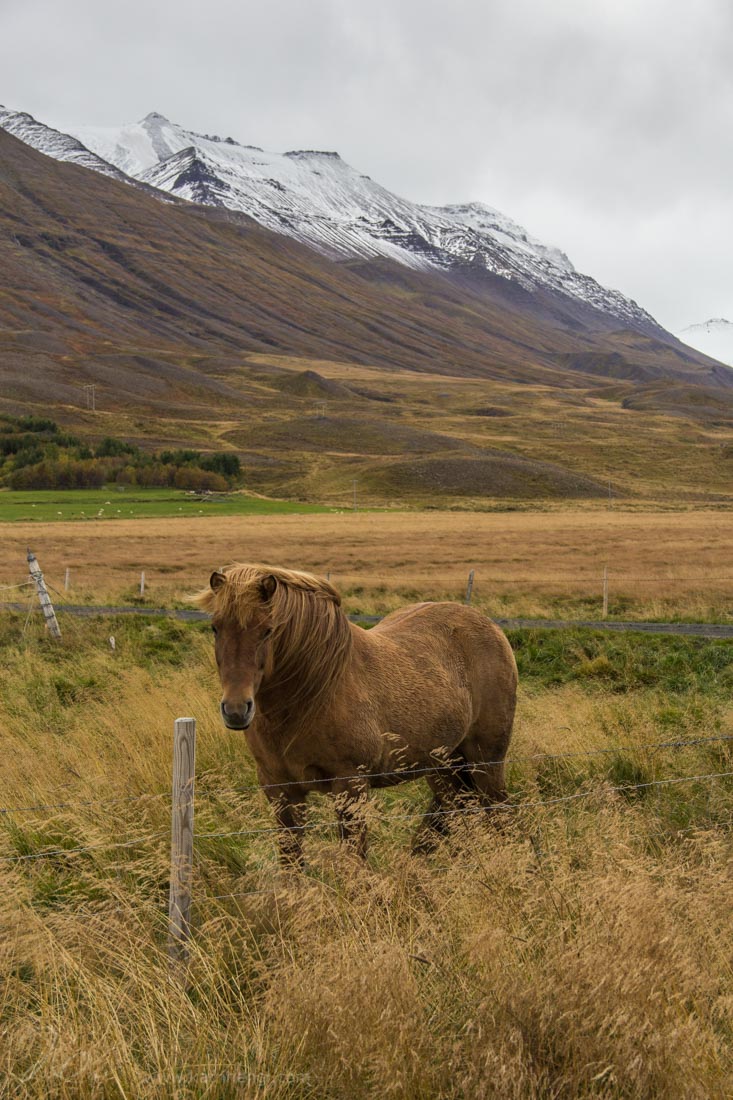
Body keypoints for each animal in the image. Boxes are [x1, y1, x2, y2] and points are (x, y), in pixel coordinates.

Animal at [193, 563, 512, 862]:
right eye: (215, 627)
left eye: (268, 630)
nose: (236, 710)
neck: (312, 696)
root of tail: (491, 627)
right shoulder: (280, 790)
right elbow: (292, 865)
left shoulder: (351, 786)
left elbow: (354, 864)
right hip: (442, 767)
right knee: (452, 814)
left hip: (485, 762)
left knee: (499, 813)